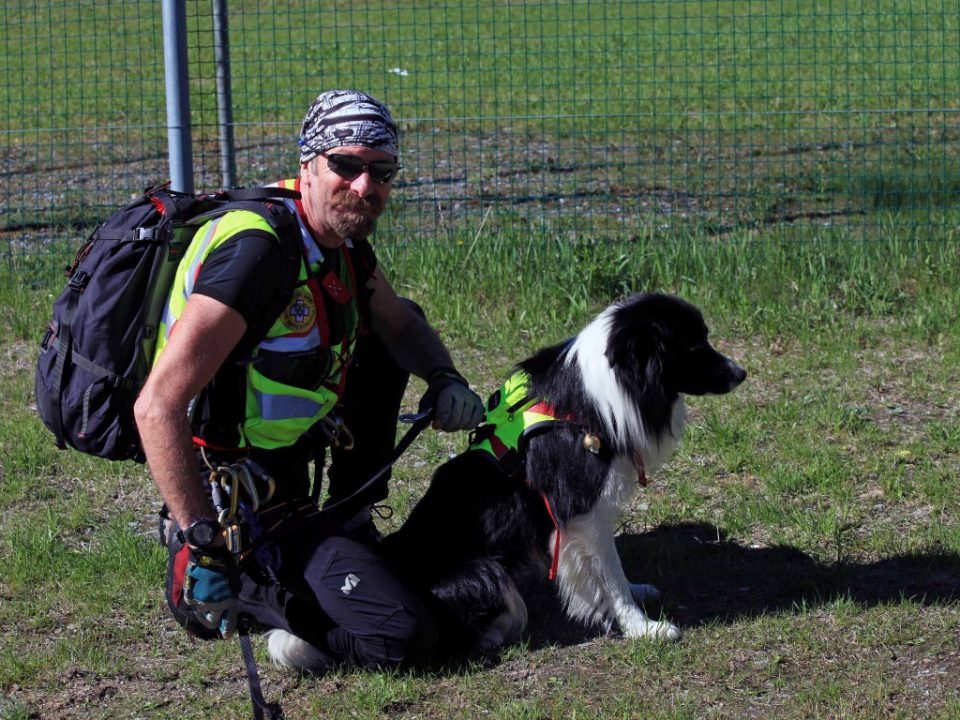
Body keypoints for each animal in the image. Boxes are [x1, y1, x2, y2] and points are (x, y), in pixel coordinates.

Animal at [378, 292, 748, 660]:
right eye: (694, 346)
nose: (741, 373)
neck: (596, 400)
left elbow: (612, 570)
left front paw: (637, 591)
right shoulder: (583, 509)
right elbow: (610, 574)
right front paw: (643, 628)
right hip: (485, 571)